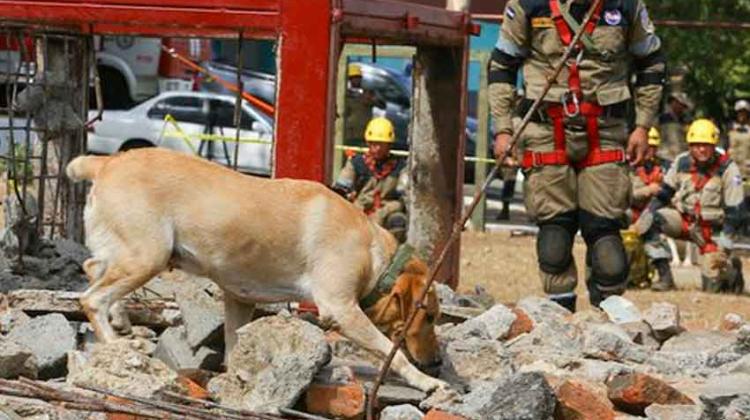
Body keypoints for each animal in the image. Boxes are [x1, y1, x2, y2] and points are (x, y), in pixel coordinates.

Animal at [66, 148, 446, 390]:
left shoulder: (239, 300)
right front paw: (427, 381)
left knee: (92, 266)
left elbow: (235, 349)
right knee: (92, 299)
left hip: (132, 253)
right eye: (428, 316)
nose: (437, 364)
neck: (374, 253)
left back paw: (121, 318)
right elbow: (389, 350)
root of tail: (106, 161)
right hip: (148, 256)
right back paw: (116, 345)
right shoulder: (341, 309)